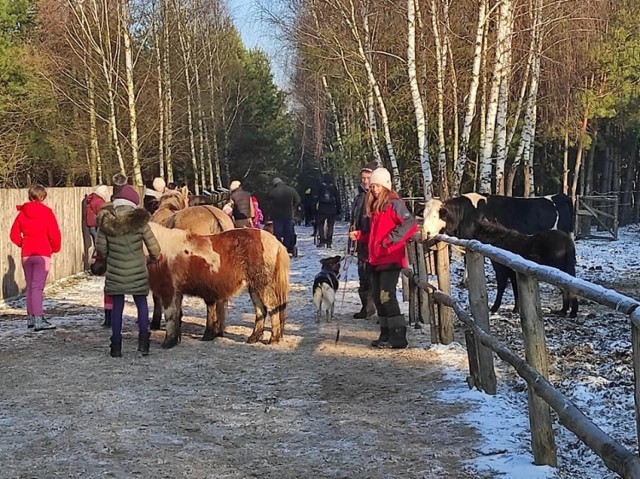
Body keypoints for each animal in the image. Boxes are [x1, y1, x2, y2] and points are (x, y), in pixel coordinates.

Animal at [146, 223, 288, 350]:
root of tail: (275, 241)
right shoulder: (176, 293)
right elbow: (176, 315)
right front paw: (175, 340)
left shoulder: (169, 291)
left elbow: (170, 315)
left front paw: (168, 342)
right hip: (254, 287)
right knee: (260, 310)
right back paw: (253, 338)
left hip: (263, 285)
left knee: (272, 307)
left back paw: (273, 339)